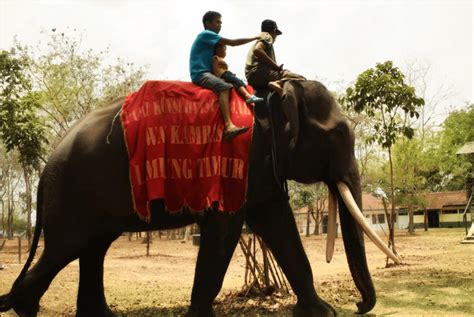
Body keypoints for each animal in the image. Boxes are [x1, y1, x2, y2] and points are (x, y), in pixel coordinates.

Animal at [0, 78, 400, 314]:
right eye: (338, 134)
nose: (360, 306)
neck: (271, 95)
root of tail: (46, 166)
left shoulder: (261, 172)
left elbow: (280, 226)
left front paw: (320, 312)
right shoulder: (237, 162)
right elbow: (224, 232)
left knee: (93, 248)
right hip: (73, 194)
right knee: (65, 249)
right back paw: (23, 307)